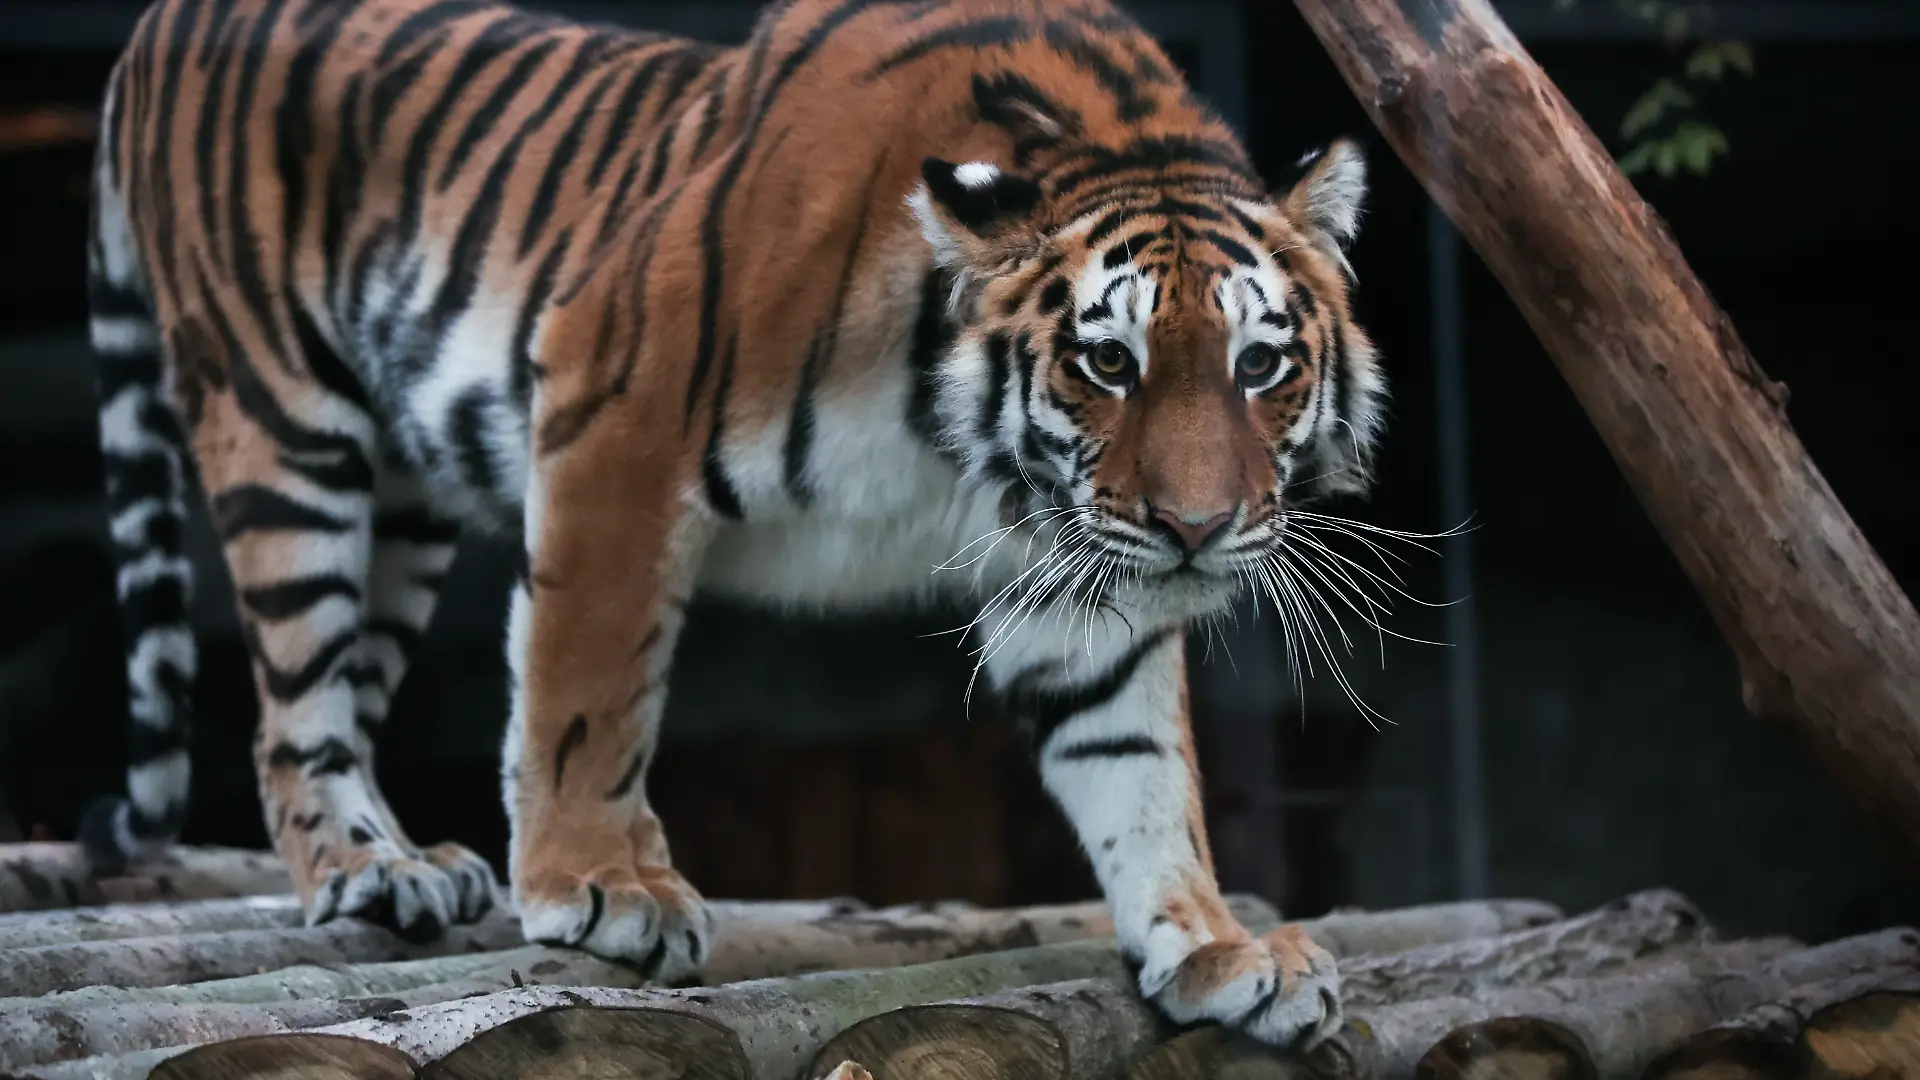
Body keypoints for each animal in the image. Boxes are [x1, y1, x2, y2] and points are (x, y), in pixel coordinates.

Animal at [83, 0, 1387, 1046]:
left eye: (1260, 363)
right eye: (1109, 362)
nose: (1195, 528)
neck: (961, 435)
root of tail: (153, 24)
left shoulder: (1074, 561)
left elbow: (1137, 762)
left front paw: (1215, 944)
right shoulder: (615, 410)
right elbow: (586, 691)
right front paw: (599, 887)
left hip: (404, 507)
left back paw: (408, 864)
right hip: (284, 423)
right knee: (290, 709)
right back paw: (366, 870)